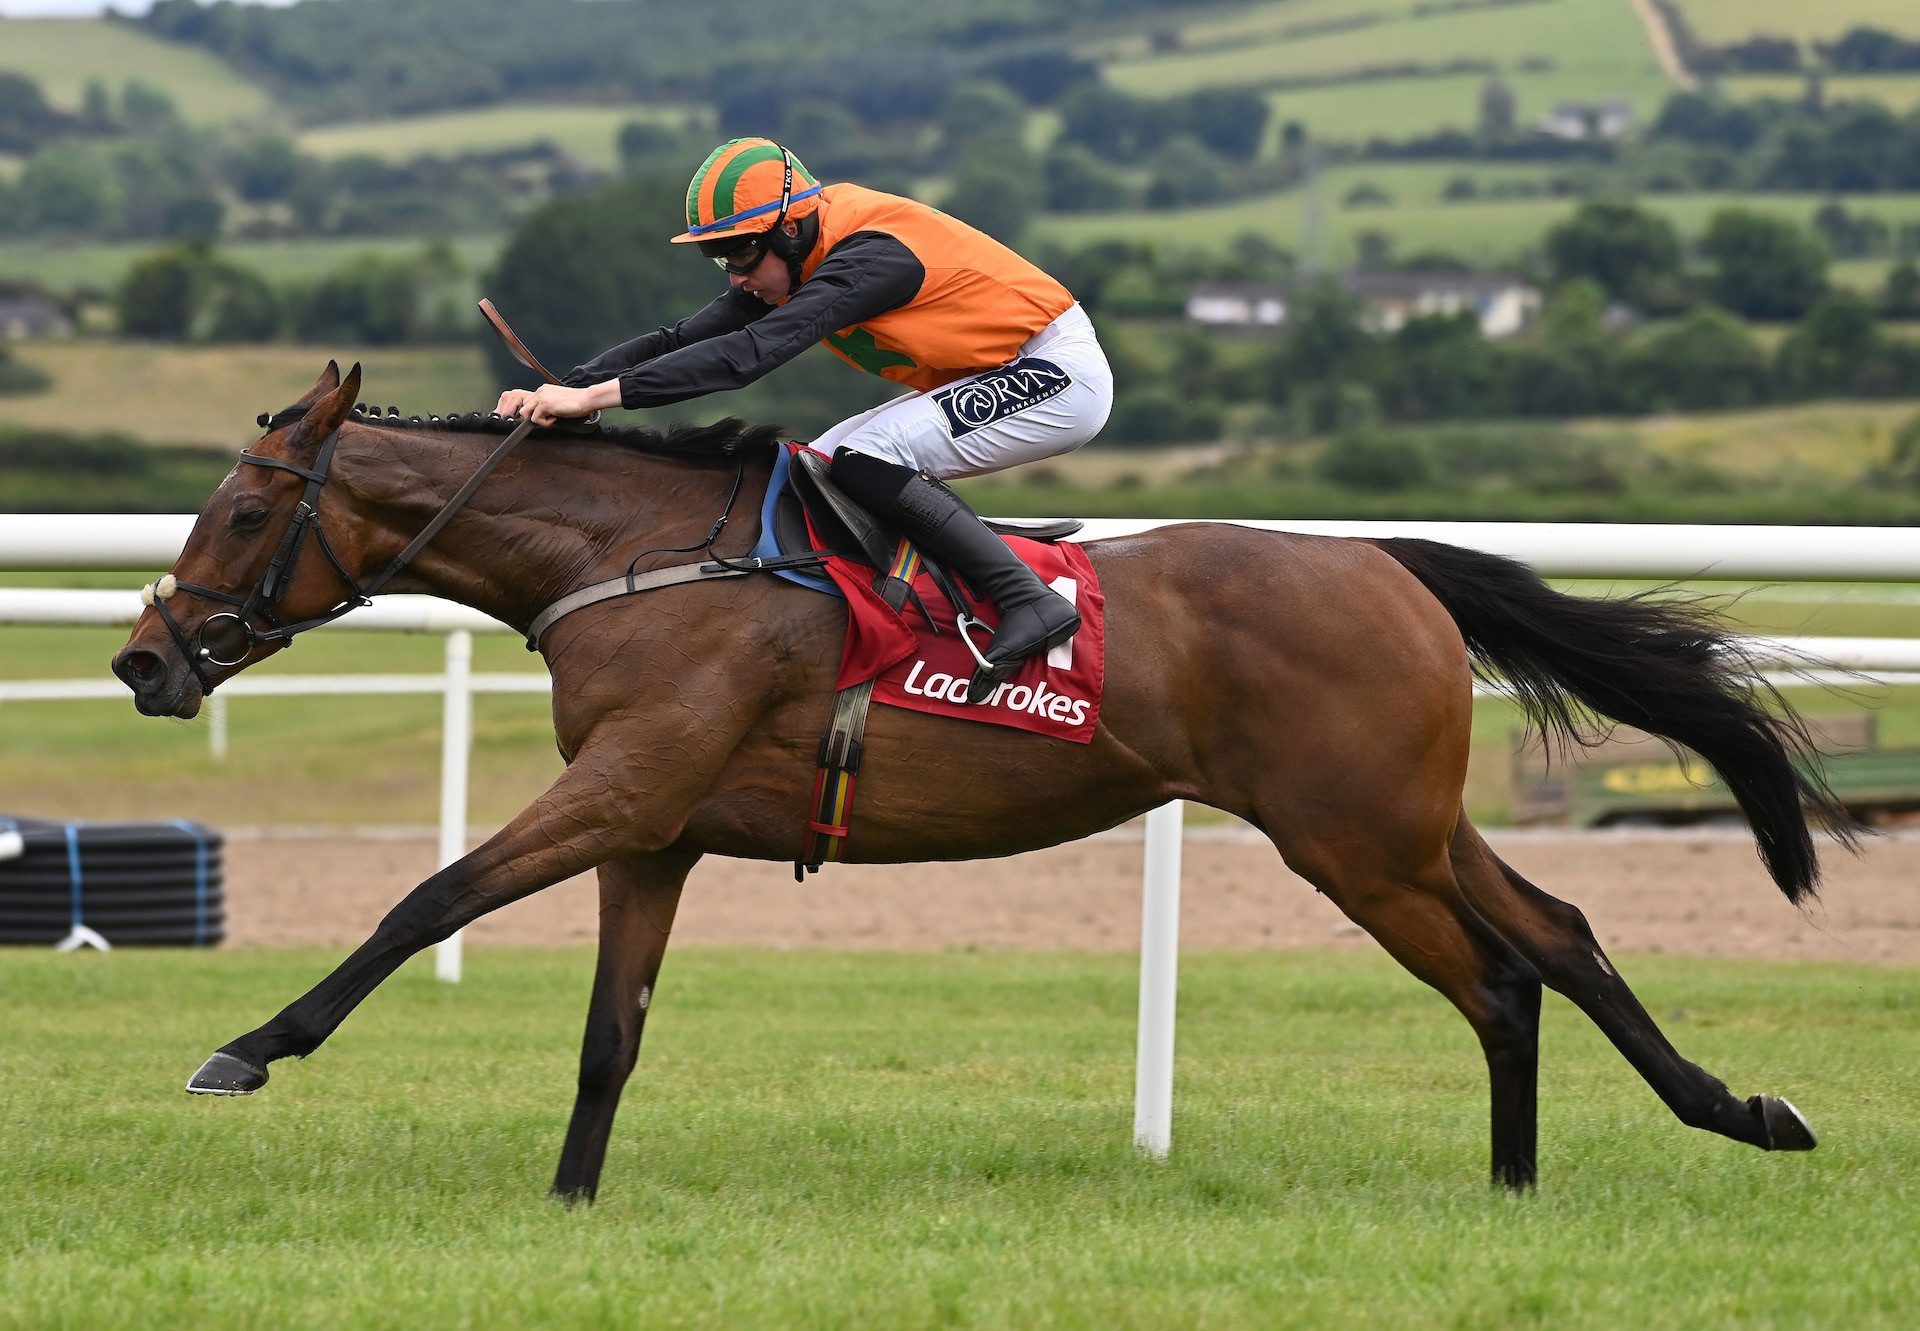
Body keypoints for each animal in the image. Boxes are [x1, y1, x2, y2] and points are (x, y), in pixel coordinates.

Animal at [112, 359, 1850, 1198]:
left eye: (243, 509)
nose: (142, 660)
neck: (634, 554)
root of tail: (1389, 563)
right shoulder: (655, 826)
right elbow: (611, 1032)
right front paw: (569, 1202)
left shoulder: (623, 786)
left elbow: (427, 897)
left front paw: (247, 1048)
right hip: (1402, 824)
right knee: (1553, 940)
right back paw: (1676, 1129)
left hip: (1356, 837)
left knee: (1503, 972)